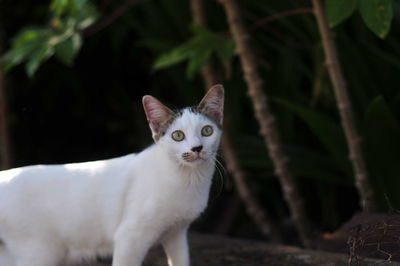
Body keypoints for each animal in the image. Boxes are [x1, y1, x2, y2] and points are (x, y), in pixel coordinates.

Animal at [0, 84, 223, 266]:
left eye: (207, 131)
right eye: (178, 135)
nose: (197, 148)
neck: (188, 180)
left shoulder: (176, 234)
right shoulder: (129, 237)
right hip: (40, 251)